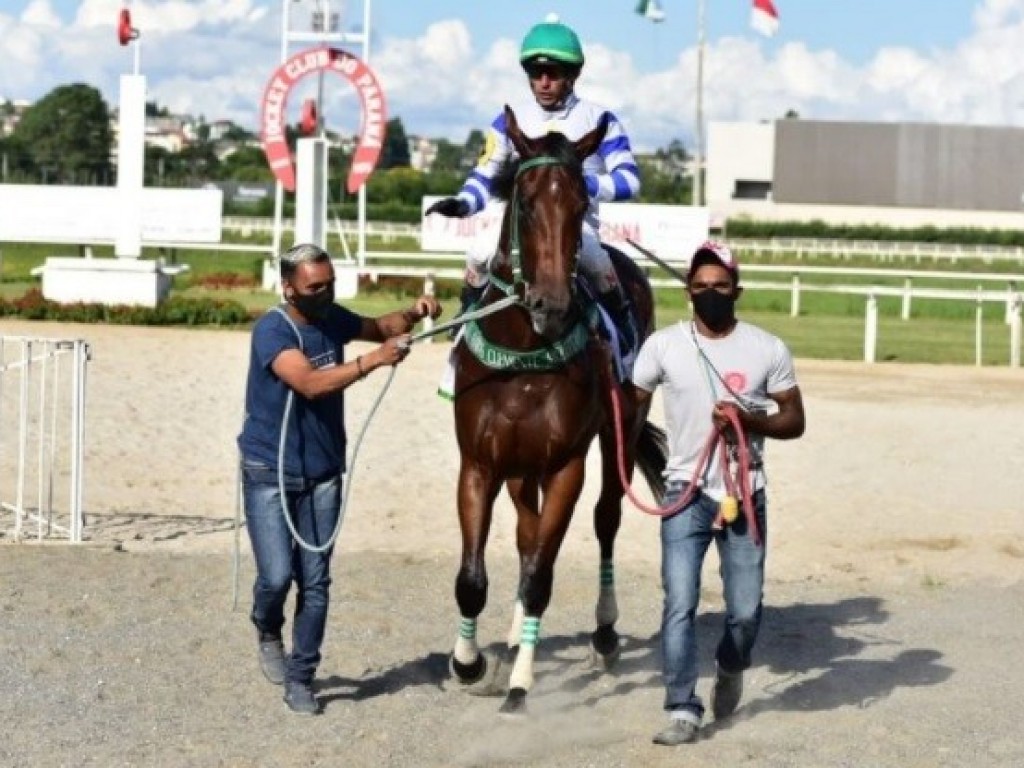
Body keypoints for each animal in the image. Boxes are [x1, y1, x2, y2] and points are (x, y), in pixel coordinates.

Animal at [446, 107, 663, 716]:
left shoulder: (566, 465)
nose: (552, 304)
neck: (523, 353)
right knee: (526, 535)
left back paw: (604, 635)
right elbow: (475, 577)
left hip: (619, 432)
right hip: (522, 468)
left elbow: (543, 574)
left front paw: (521, 685)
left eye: (581, 202)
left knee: (605, 519)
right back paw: (513, 638)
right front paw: (469, 662)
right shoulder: (480, 463)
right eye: (524, 200)